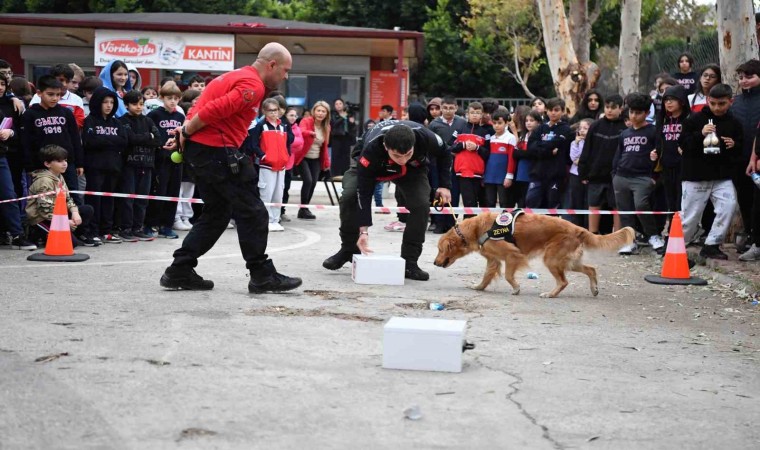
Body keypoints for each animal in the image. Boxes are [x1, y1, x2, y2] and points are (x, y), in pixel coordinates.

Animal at [434, 214, 636, 298]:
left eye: (440, 249)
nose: (435, 263)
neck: (477, 229)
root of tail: (578, 228)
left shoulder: (512, 255)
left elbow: (508, 276)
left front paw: (516, 288)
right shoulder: (493, 260)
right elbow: (487, 276)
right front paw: (479, 287)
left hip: (552, 259)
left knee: (564, 281)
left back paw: (550, 294)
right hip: (568, 262)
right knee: (591, 269)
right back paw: (594, 289)